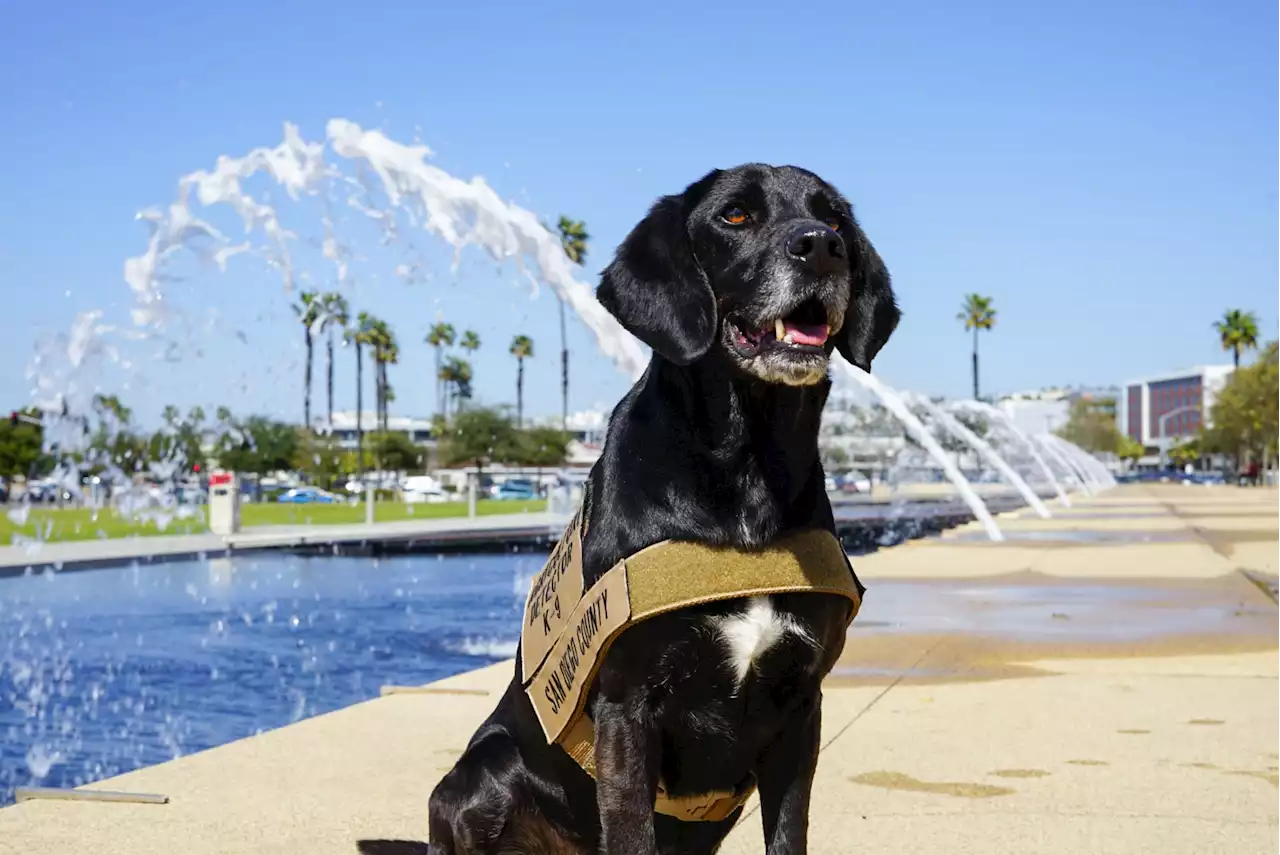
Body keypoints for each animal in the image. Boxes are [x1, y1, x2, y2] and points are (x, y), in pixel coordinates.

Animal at [430, 163, 901, 849]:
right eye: (735, 216)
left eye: (834, 216)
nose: (821, 246)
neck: (745, 469)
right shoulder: (629, 708)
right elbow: (629, 832)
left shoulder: (801, 704)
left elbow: (789, 833)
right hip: (479, 774)